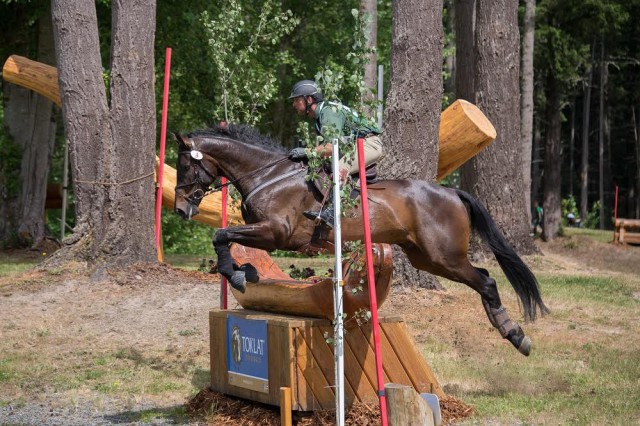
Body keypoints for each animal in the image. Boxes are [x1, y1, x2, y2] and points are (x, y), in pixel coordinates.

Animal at [175, 123, 552, 356]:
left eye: (185, 166)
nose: (180, 209)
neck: (269, 175)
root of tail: (452, 192)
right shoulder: (265, 233)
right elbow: (228, 240)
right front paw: (246, 272)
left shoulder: (276, 233)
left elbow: (221, 235)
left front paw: (237, 275)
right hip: (427, 258)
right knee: (484, 278)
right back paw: (510, 330)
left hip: (445, 256)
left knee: (486, 281)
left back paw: (516, 335)